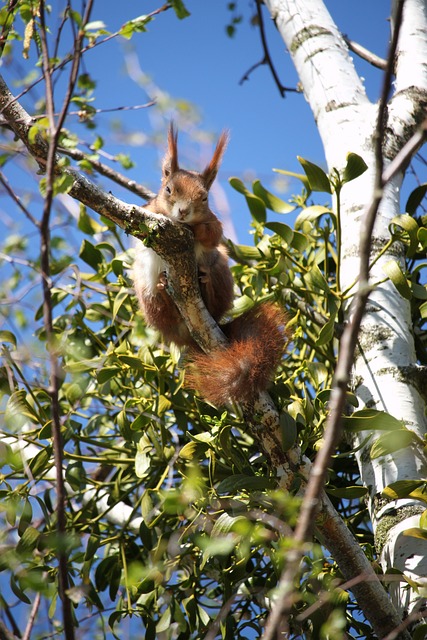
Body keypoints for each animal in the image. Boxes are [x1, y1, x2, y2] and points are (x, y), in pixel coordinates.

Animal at [133, 126, 288, 404]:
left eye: (204, 197)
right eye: (168, 190)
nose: (183, 212)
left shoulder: (215, 225)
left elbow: (212, 234)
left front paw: (197, 230)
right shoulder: (147, 212)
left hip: (219, 267)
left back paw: (204, 284)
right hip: (144, 291)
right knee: (161, 311)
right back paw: (163, 290)